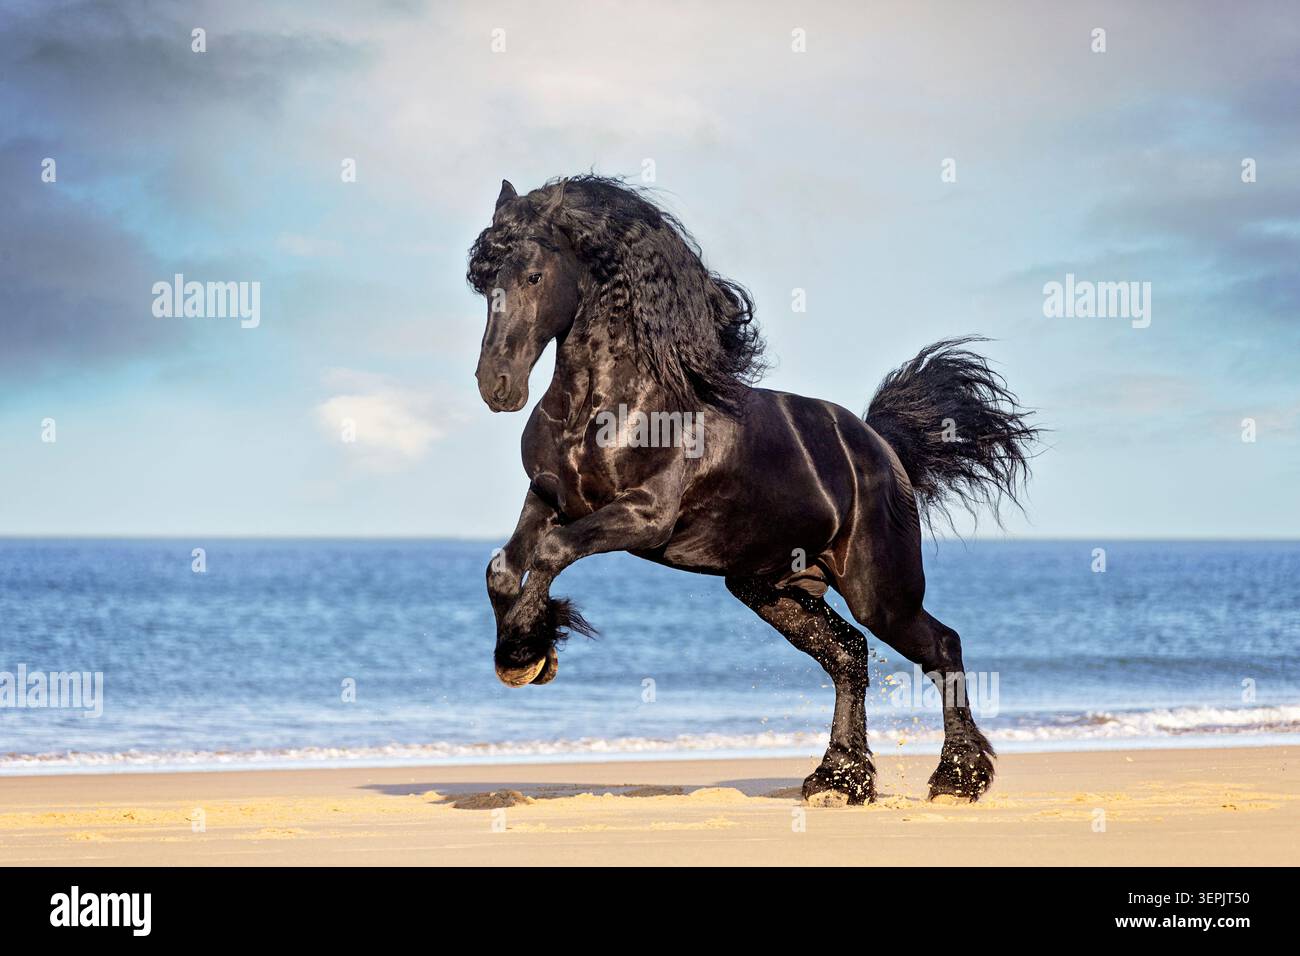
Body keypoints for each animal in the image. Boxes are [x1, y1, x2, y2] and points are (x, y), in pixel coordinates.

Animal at [467, 175, 1038, 805]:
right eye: (482, 282)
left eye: (533, 276)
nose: (497, 386)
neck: (612, 406)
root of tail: (882, 448)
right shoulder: (549, 498)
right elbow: (502, 567)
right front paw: (522, 655)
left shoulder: (642, 516)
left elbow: (551, 552)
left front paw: (527, 650)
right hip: (772, 590)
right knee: (850, 656)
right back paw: (838, 779)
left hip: (881, 592)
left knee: (941, 646)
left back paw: (956, 778)